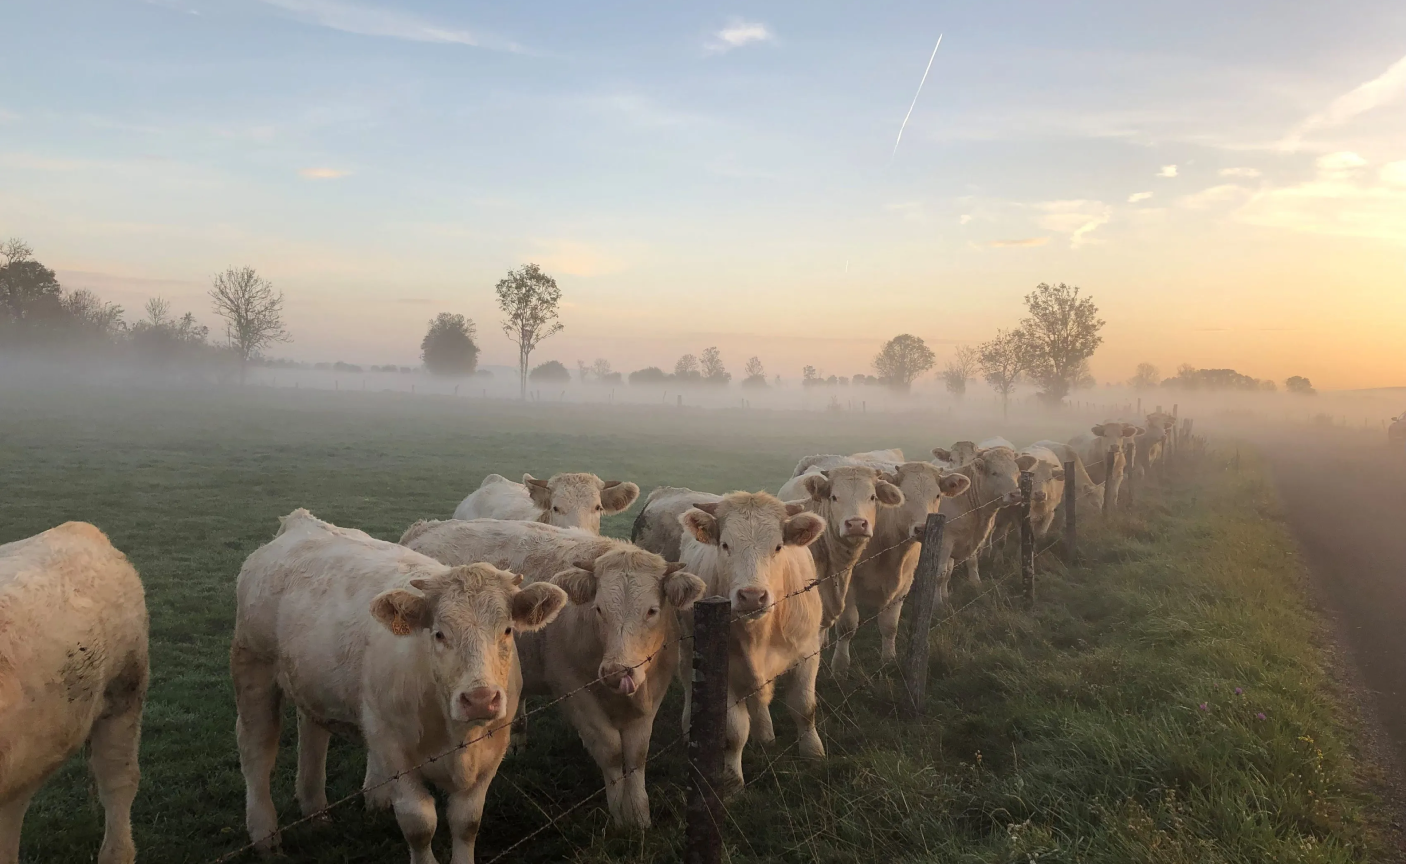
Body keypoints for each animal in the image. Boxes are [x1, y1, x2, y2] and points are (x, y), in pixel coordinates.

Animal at [231, 510, 567, 863]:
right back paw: (266, 836)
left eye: (506, 630)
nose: (480, 699)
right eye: (439, 634)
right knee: (256, 750)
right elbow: (419, 824)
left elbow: (467, 822)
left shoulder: (492, 751)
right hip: (252, 665)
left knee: (312, 734)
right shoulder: (393, 751)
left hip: (310, 680)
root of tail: (301, 522)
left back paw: (316, 811)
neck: (456, 735)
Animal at [398, 518, 704, 829]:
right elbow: (611, 751)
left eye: (652, 611)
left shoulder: (654, 692)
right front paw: (620, 814)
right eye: (599, 609)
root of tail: (424, 527)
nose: (617, 672)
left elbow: (637, 754)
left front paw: (639, 815)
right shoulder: (574, 691)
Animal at [676, 492, 827, 791]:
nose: (752, 596)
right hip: (688, 649)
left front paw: (814, 754)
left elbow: (804, 707)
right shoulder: (725, 671)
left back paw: (766, 734)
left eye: (778, 546)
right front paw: (732, 781)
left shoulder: (808, 652)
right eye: (725, 545)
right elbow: (734, 732)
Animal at [830, 461, 972, 677]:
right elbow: (847, 626)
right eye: (903, 495)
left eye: (937, 495)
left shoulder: (903, 584)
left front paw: (889, 659)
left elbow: (890, 625)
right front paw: (840, 665)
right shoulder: (846, 585)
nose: (922, 528)